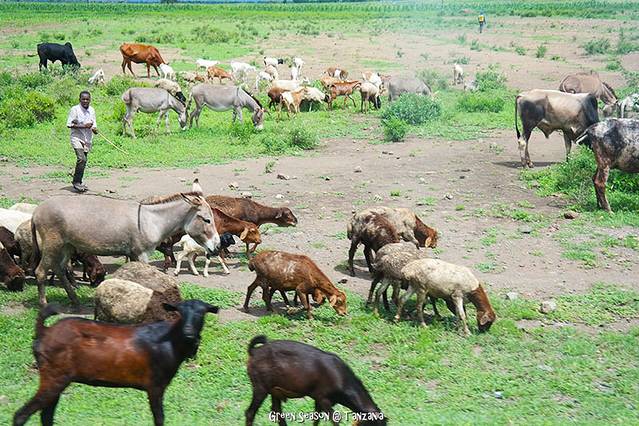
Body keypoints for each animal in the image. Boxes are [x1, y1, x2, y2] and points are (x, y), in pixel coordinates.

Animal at [13, 300, 219, 426]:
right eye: (180, 313)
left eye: (202, 314)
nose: (189, 333)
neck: (171, 341)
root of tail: (44, 331)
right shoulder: (155, 385)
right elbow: (159, 418)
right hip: (54, 376)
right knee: (21, 415)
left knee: (46, 415)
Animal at [245, 335, 386, 426]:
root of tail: (254, 351)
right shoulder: (323, 398)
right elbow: (335, 420)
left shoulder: (318, 399)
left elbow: (316, 419)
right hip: (260, 387)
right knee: (250, 413)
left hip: (275, 390)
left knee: (277, 412)